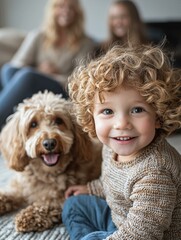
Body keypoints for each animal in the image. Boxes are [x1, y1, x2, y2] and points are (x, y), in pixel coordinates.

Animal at [0, 90, 102, 232]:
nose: (49, 143)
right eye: (33, 124)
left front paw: (28, 215)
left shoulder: (61, 197)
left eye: (59, 120)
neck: (46, 174)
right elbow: (9, 193)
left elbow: (48, 203)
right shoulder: (20, 188)